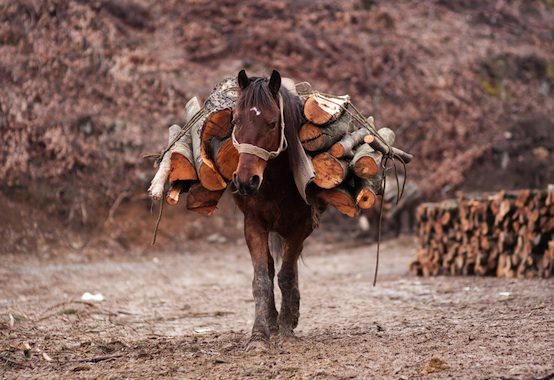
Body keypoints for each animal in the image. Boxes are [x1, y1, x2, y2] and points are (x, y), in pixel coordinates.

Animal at [230, 69, 316, 350]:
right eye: (235, 120)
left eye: (272, 123)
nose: (245, 181)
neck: (276, 182)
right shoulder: (253, 225)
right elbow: (262, 279)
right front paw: (259, 335)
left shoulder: (301, 227)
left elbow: (286, 275)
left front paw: (287, 328)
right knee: (269, 266)